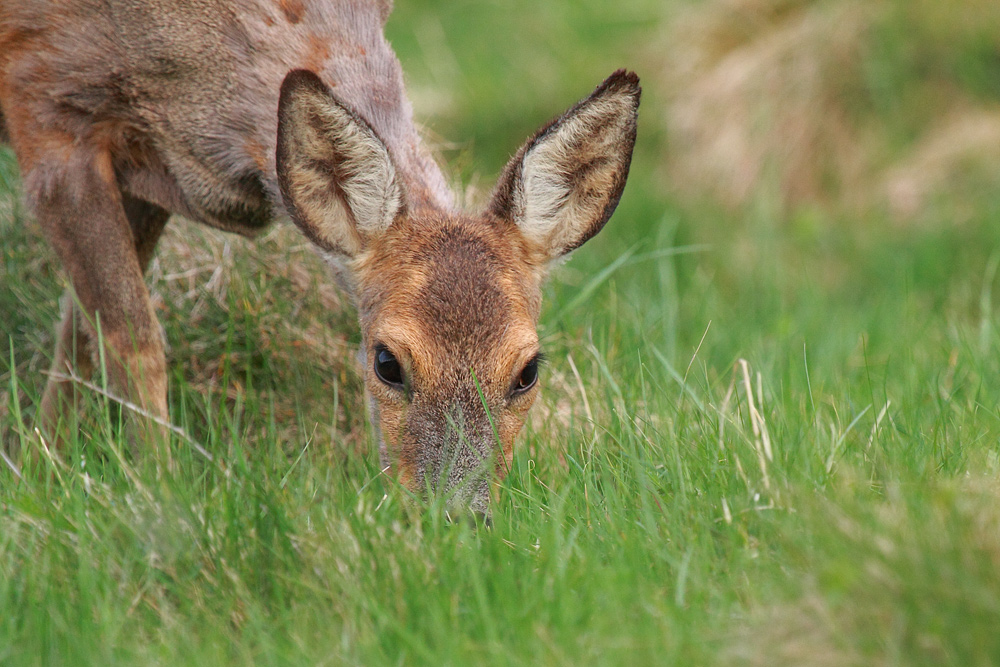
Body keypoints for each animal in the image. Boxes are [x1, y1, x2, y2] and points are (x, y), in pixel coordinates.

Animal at [0, 0, 640, 516]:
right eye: (386, 363)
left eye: (528, 370)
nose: (456, 517)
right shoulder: (45, 97)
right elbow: (131, 339)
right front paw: (159, 492)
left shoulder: (147, 171)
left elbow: (77, 342)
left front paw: (38, 472)